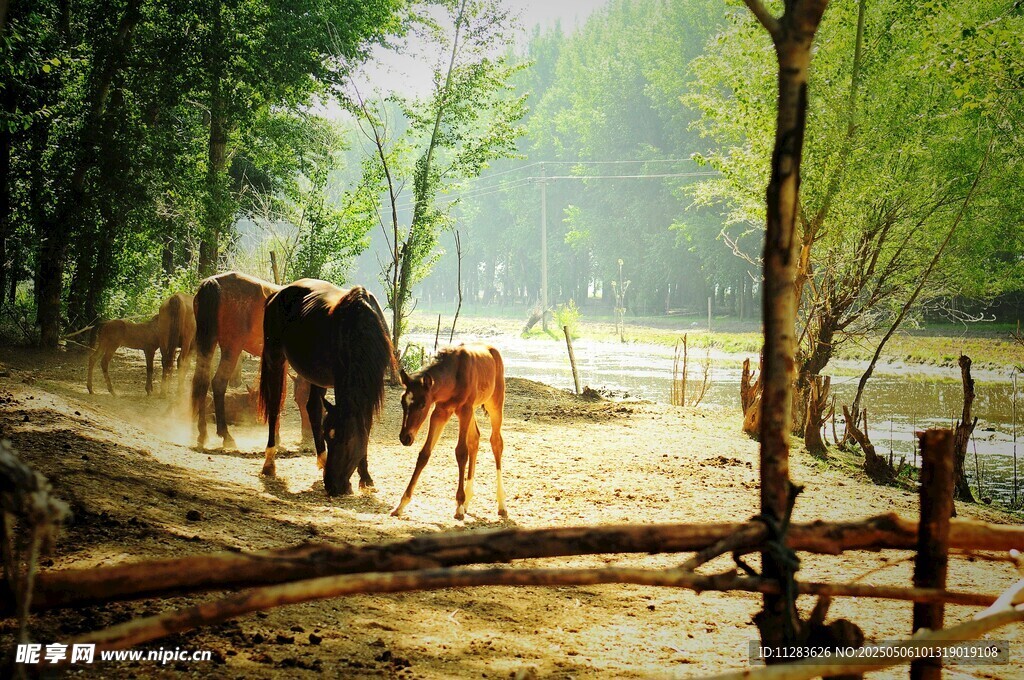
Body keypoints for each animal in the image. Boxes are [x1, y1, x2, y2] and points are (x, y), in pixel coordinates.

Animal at [191, 272, 282, 449]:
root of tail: (213, 282)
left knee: (201, 381)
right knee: (218, 383)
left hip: (206, 344)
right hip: (231, 348)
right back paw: (226, 435)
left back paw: (202, 433)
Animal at [257, 279, 394, 496]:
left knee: (313, 408)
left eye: (345, 439)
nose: (332, 486)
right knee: (274, 407)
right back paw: (270, 462)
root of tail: (276, 295)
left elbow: (366, 425)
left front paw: (365, 477)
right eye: (329, 437)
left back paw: (321, 461)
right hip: (275, 359)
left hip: (315, 376)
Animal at [392, 343, 507, 520]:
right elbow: (424, 454)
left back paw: (501, 504)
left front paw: (458, 505)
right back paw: (468, 501)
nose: (405, 438)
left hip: (494, 404)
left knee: (496, 442)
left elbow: (461, 453)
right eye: (403, 402)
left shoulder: (464, 410)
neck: (453, 375)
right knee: (475, 440)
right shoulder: (440, 412)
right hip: (473, 410)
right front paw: (401, 505)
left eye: (422, 404)